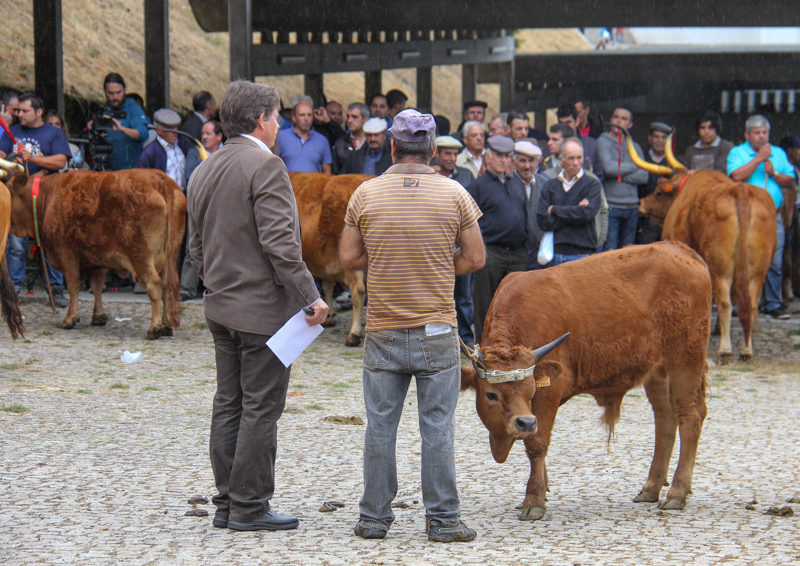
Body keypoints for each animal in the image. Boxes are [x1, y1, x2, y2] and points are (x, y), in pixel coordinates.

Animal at [2, 166, 186, 340]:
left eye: (8, 190)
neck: (48, 197)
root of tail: (159, 179)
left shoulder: (65, 251)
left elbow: (73, 284)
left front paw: (70, 318)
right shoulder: (99, 256)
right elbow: (97, 285)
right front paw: (99, 316)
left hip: (140, 254)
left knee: (154, 284)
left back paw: (155, 328)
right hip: (169, 256)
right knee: (166, 286)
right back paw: (166, 326)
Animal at [290, 171, 372, 348]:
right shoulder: (327, 264)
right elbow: (327, 285)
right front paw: (329, 316)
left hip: (351, 260)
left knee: (358, 292)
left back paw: (353, 334)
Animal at [460, 244, 708, 524]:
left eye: (531, 390)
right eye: (491, 394)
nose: (524, 423)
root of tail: (680, 249)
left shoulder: (549, 392)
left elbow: (537, 444)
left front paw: (534, 498)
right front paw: (542, 488)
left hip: (685, 359)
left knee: (689, 417)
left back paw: (677, 492)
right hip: (657, 370)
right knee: (665, 419)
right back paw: (652, 487)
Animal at [636, 135, 776, 362]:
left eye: (658, 193)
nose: (641, 203)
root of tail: (739, 189)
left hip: (721, 269)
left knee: (726, 303)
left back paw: (725, 350)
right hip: (757, 271)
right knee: (751, 304)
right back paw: (746, 349)